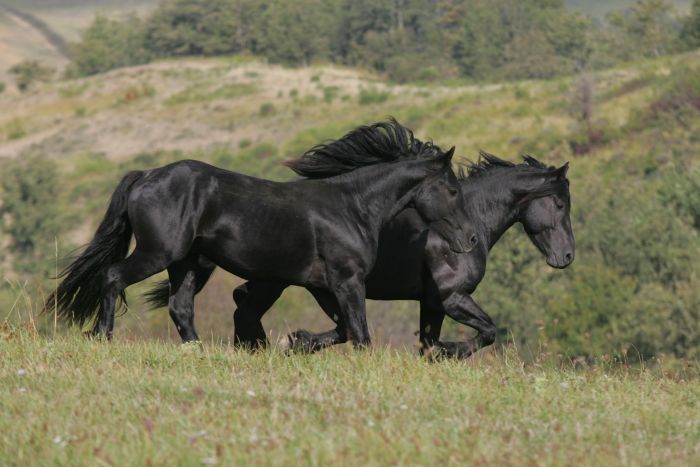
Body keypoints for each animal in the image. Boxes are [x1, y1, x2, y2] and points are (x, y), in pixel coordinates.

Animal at [52, 120, 474, 348]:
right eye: (453, 190)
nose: (469, 240)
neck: (351, 207)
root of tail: (146, 175)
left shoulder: (322, 286)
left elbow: (343, 329)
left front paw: (298, 342)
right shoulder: (347, 280)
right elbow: (359, 333)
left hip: (186, 263)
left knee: (180, 307)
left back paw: (198, 350)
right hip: (159, 252)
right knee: (113, 277)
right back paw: (102, 335)